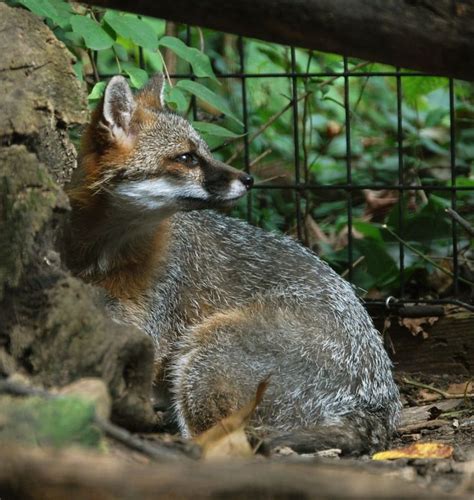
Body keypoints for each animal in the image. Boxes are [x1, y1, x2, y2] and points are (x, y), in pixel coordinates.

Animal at [65, 75, 400, 458]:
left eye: (205, 152)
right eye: (187, 158)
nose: (248, 179)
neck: (105, 251)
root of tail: (378, 405)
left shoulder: (148, 328)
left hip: (201, 356)